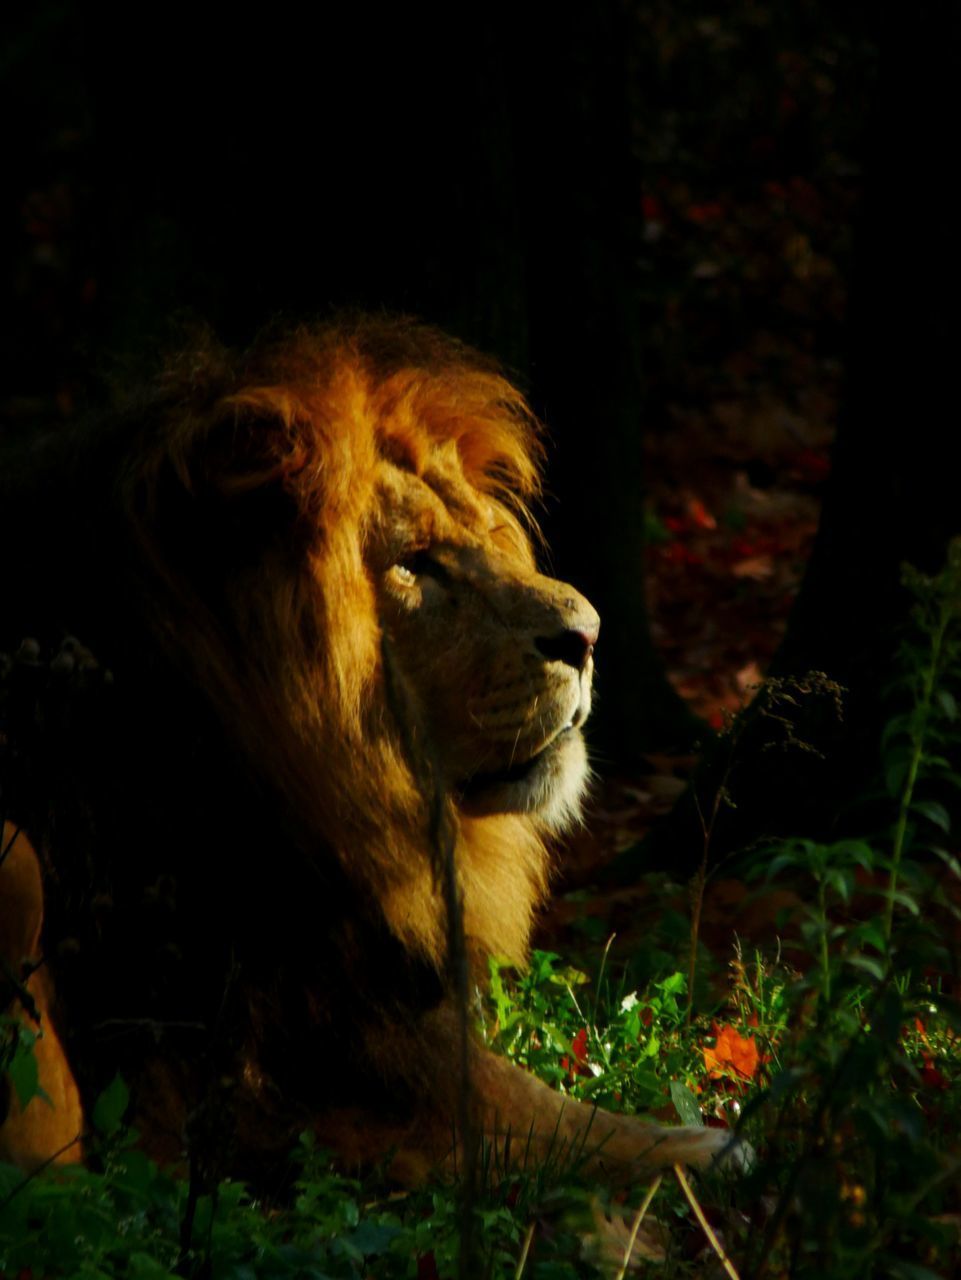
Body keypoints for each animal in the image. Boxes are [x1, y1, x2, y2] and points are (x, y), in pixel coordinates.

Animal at [0, 320, 731, 1187]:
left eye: (489, 535)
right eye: (414, 563)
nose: (586, 637)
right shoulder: (284, 1053)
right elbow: (529, 1114)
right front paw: (707, 1143)